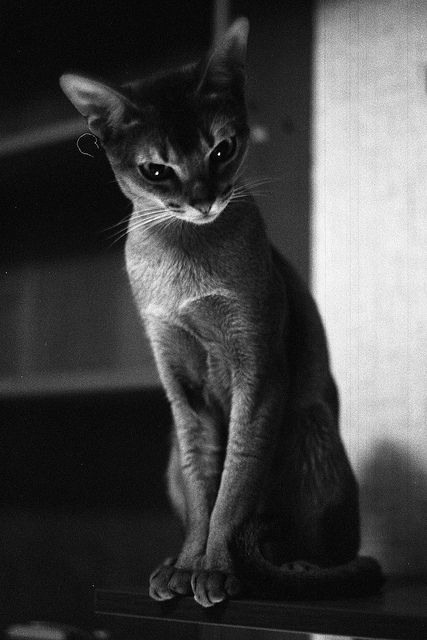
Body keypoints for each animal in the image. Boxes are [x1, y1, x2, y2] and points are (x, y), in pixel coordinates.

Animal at [60, 15, 384, 604]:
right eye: (156, 170)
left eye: (222, 150)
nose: (203, 199)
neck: (186, 261)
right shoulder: (180, 383)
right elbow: (200, 484)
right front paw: (187, 564)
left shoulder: (259, 368)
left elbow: (236, 481)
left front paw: (215, 567)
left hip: (309, 428)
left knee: (334, 548)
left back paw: (295, 565)